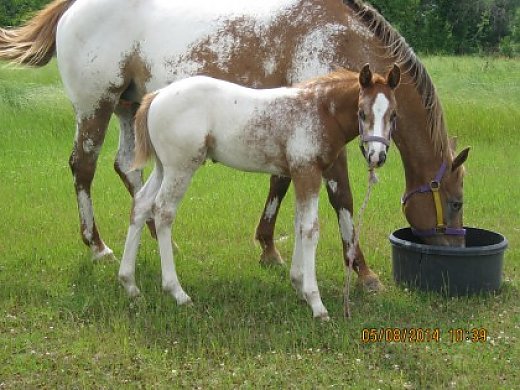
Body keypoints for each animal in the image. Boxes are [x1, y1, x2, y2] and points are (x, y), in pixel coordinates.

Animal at [0, 0, 470, 292]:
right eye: (456, 202)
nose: (455, 252)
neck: (340, 38)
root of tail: (71, 9)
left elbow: (279, 185)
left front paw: (269, 249)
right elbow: (343, 200)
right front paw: (364, 270)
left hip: (129, 109)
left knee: (127, 170)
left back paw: (154, 233)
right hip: (95, 108)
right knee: (84, 166)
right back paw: (97, 245)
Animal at [119, 64, 402, 320]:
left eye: (394, 115)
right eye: (361, 112)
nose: (377, 156)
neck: (320, 110)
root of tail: (156, 96)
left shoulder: (299, 173)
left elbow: (298, 224)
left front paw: (298, 285)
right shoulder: (307, 171)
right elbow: (310, 229)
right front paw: (316, 303)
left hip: (162, 167)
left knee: (141, 205)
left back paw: (129, 284)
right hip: (180, 168)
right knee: (163, 211)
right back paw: (177, 292)